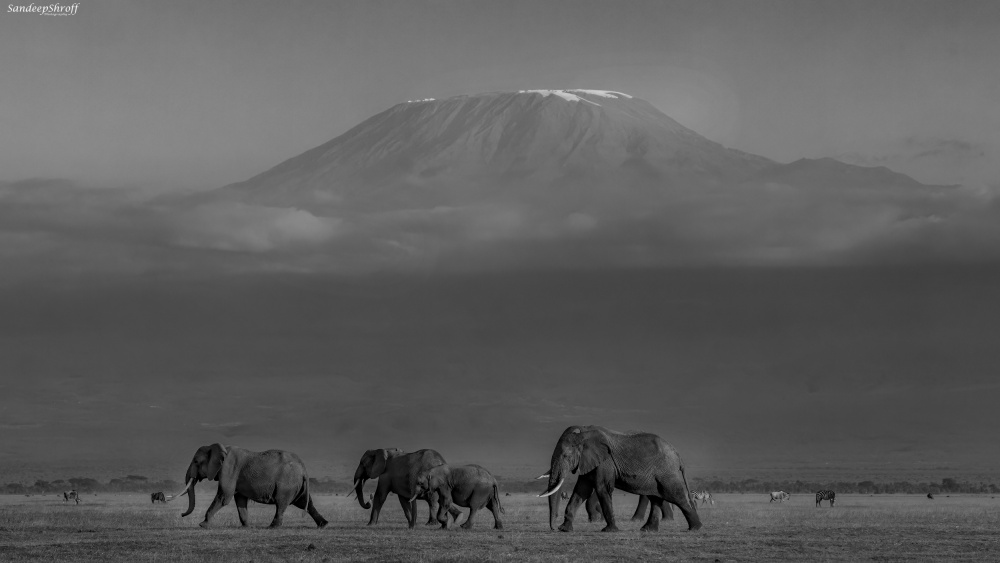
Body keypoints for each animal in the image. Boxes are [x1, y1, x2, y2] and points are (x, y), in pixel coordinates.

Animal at [169, 442, 328, 532]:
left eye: (196, 461)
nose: (182, 514)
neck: (218, 448)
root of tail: (304, 469)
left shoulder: (229, 468)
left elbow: (224, 496)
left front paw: (203, 525)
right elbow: (239, 499)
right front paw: (246, 527)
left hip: (287, 483)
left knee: (282, 503)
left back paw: (272, 527)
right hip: (297, 485)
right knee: (304, 503)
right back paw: (323, 525)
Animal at [536, 428, 700, 532]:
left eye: (565, 455)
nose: (553, 527)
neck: (583, 433)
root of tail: (677, 454)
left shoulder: (605, 461)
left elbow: (602, 488)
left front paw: (609, 530)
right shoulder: (587, 461)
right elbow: (581, 490)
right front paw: (565, 529)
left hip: (667, 472)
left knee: (676, 496)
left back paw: (695, 528)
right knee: (656, 498)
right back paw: (647, 530)